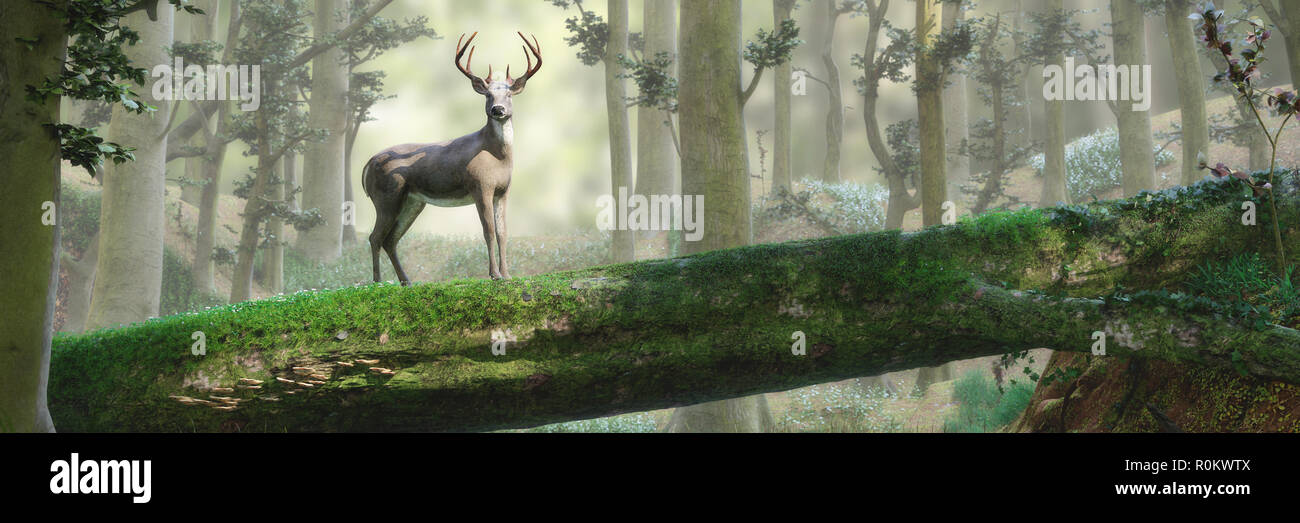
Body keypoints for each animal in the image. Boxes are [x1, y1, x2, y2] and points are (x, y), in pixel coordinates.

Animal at [363, 31, 541, 285]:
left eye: (508, 94)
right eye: (488, 95)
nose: (498, 109)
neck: (496, 156)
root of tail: (367, 164)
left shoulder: (503, 190)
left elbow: (503, 233)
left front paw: (507, 274)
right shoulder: (480, 185)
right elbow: (488, 232)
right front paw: (494, 275)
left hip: (412, 201)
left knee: (390, 239)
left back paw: (406, 281)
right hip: (386, 196)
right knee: (375, 236)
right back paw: (377, 282)